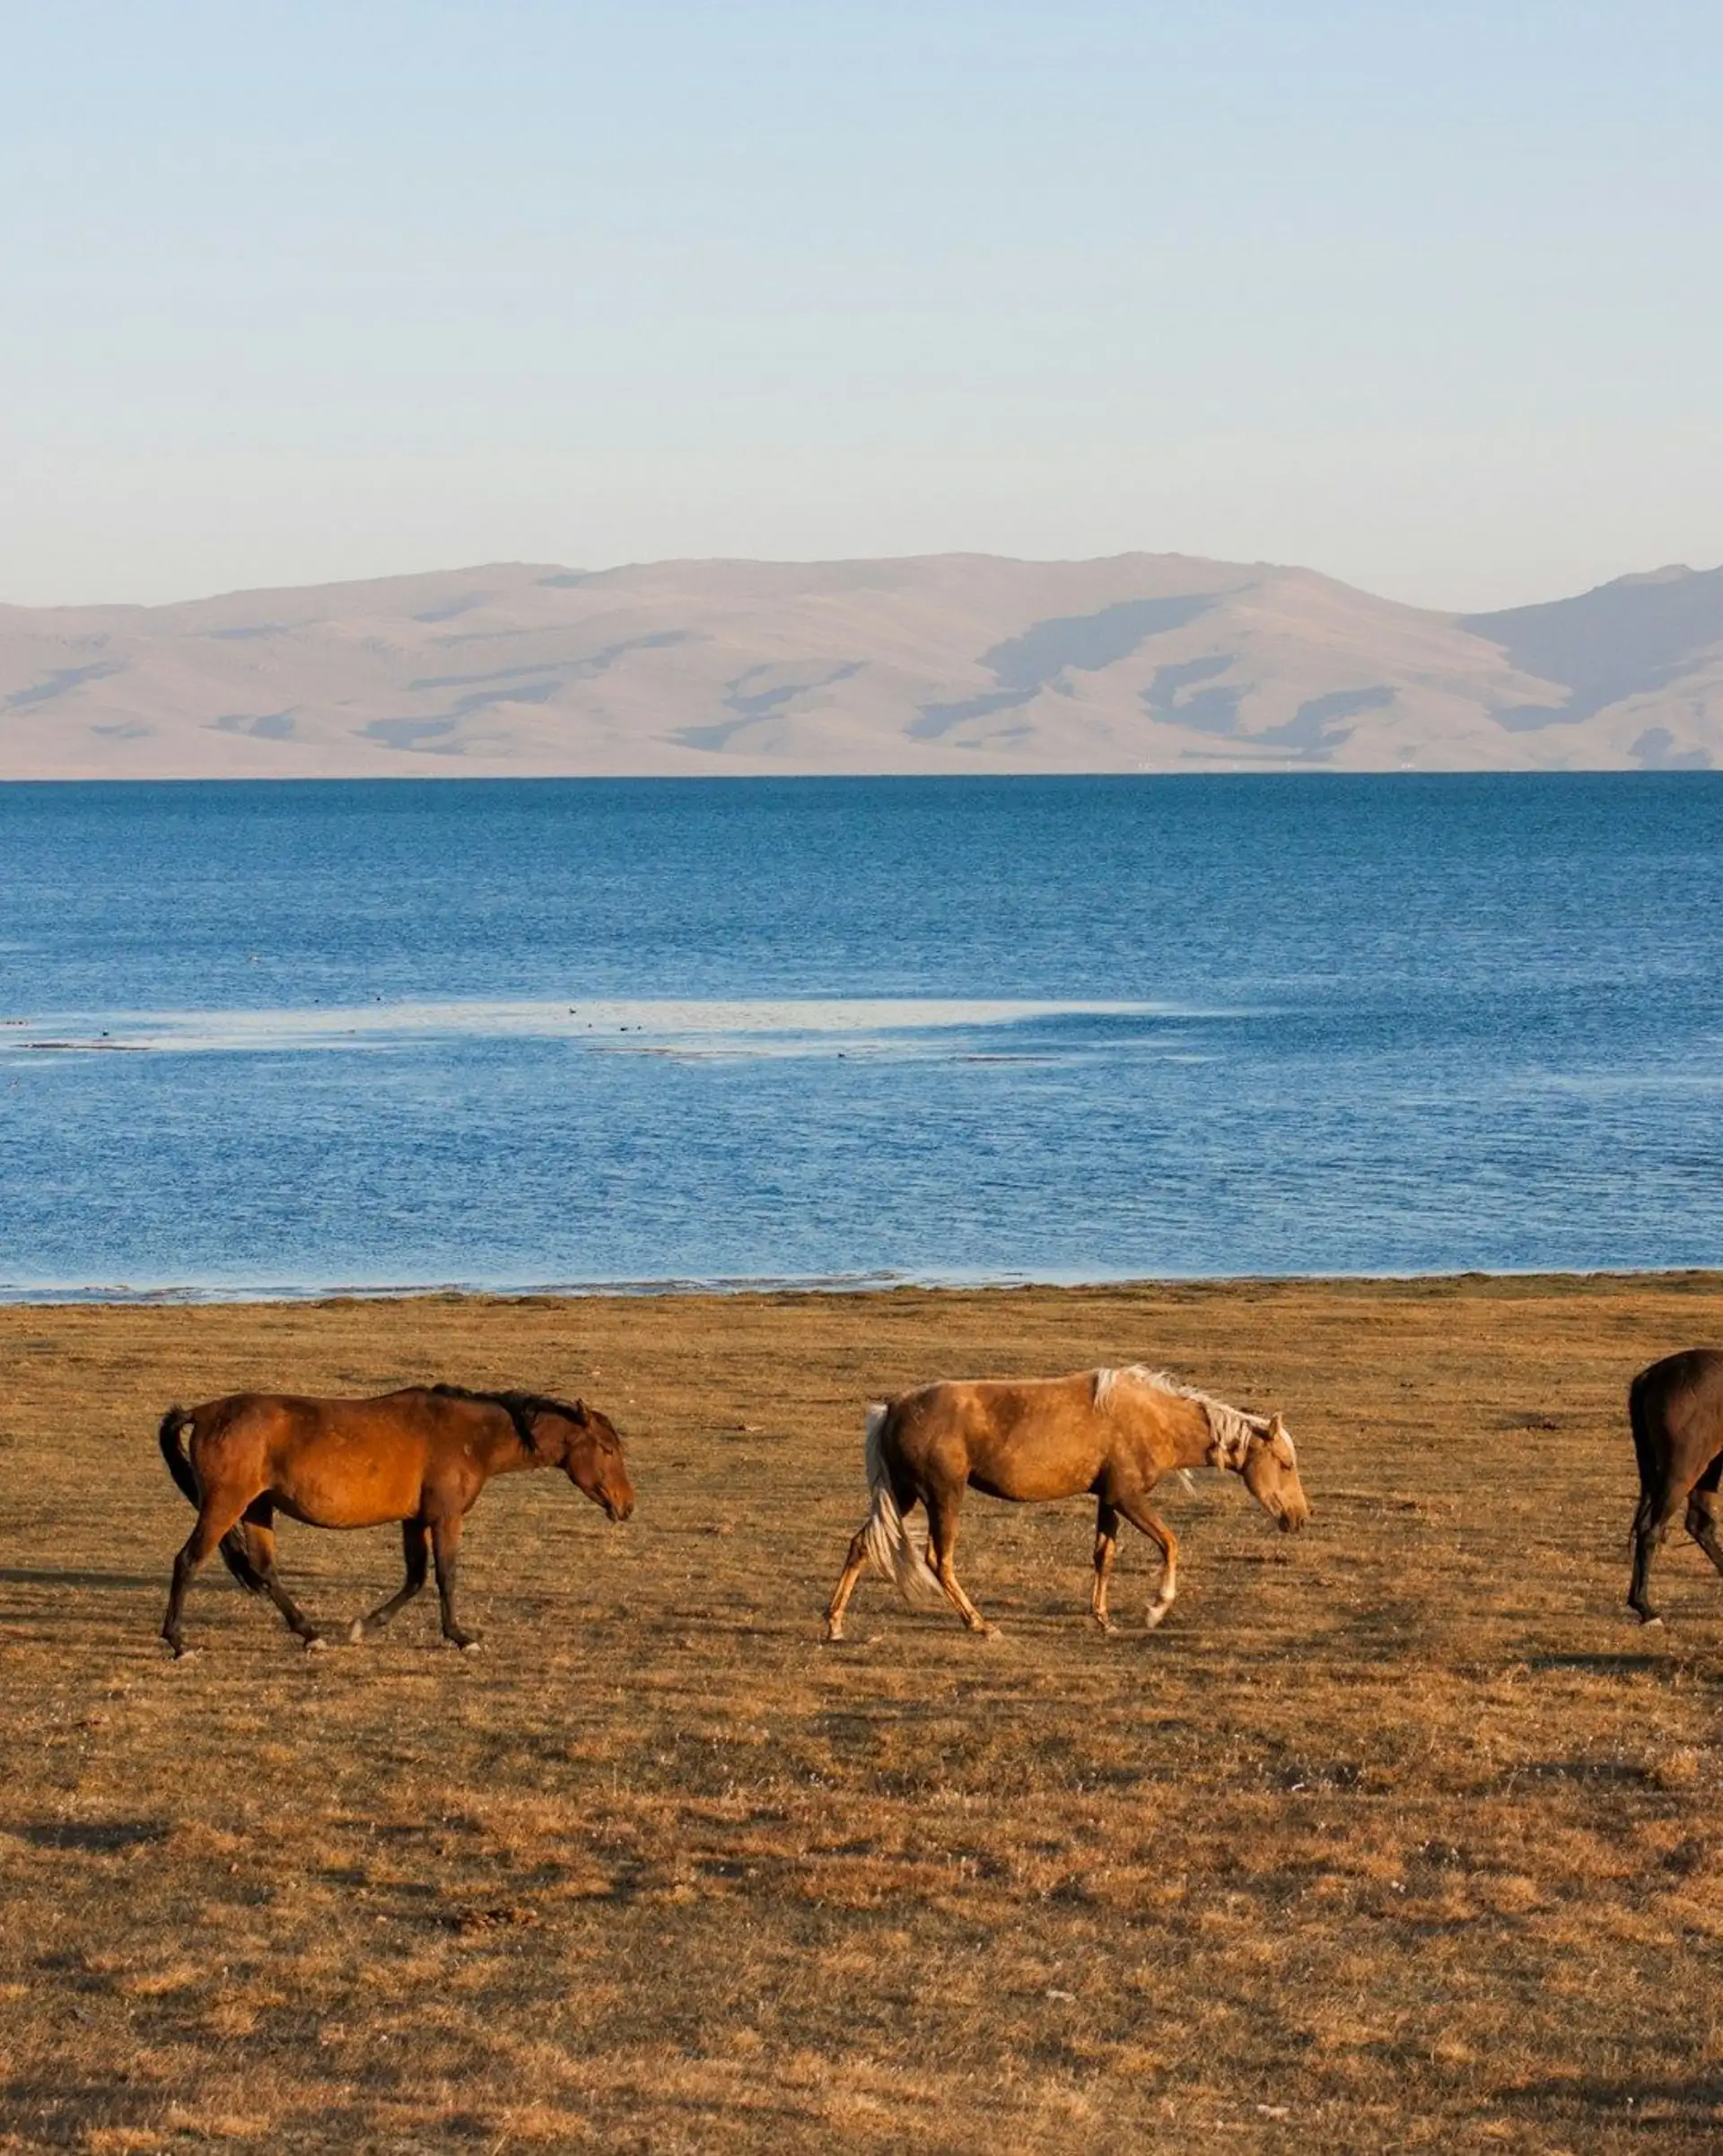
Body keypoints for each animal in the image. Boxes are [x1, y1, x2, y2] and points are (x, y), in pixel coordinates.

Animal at [157, 1383, 634, 1656]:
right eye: (608, 1449)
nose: (626, 1506)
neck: (470, 1436)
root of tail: (204, 1412)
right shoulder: (445, 1517)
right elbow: (445, 1576)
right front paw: (461, 1637)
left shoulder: (414, 1520)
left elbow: (416, 1578)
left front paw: (362, 1627)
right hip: (225, 1506)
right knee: (187, 1561)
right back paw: (178, 1642)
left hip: (257, 1508)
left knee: (266, 1570)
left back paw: (310, 1633)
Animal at [824, 1363, 1310, 1641]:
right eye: (1286, 1464)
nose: (1299, 1517)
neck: (1153, 1418)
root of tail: (892, 1408)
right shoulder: (1128, 1498)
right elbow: (1170, 1542)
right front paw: (1156, 1608)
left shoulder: (1108, 1500)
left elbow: (1104, 1557)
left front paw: (1104, 1618)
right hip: (943, 1496)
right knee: (938, 1560)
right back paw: (980, 1624)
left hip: (903, 1495)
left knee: (862, 1545)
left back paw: (834, 1623)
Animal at [1627, 1348, 1723, 1623]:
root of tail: (1651, 1376)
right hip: (1685, 1469)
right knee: (1651, 1530)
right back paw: (1646, 1609)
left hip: (1707, 1468)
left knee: (1698, 1525)